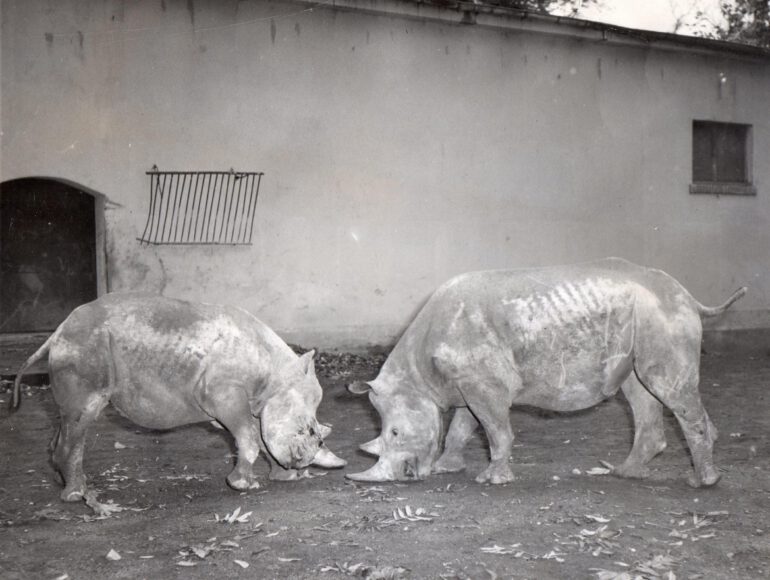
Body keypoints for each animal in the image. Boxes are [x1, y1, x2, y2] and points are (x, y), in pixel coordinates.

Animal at [10, 293, 346, 504]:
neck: (276, 376)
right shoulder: (222, 393)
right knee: (83, 415)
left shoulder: (255, 403)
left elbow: (260, 437)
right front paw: (242, 485)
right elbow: (249, 438)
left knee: (68, 418)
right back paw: (76, 496)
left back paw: (62, 482)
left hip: (80, 346)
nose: (301, 464)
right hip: (84, 347)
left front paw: (284, 479)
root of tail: (57, 332)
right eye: (305, 431)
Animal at [348, 258, 746, 488]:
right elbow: (462, 426)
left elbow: (495, 429)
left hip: (661, 318)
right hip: (644, 319)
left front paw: (492, 480)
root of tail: (686, 295)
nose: (403, 477)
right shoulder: (466, 384)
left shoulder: (483, 384)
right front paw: (448, 468)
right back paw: (626, 473)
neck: (417, 379)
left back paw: (701, 482)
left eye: (395, 432)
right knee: (639, 391)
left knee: (664, 387)